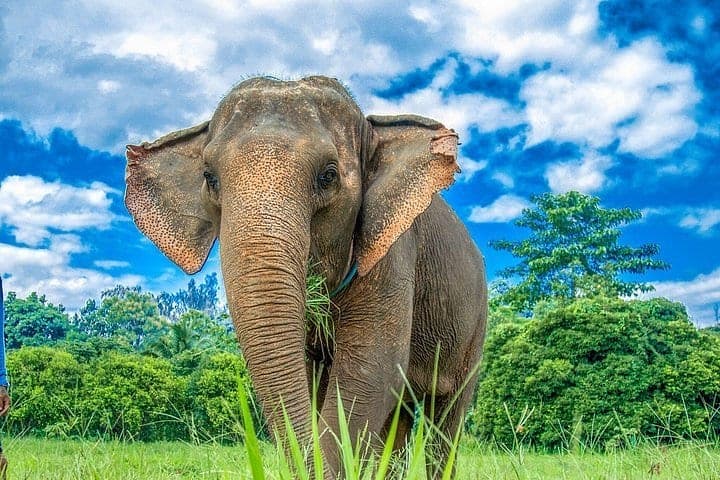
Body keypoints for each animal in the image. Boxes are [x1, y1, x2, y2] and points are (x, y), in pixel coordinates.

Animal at [124, 75, 487, 478]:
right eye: (210, 178)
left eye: (328, 176)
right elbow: (317, 380)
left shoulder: (394, 251)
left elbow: (370, 369)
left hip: (475, 328)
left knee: (447, 418)